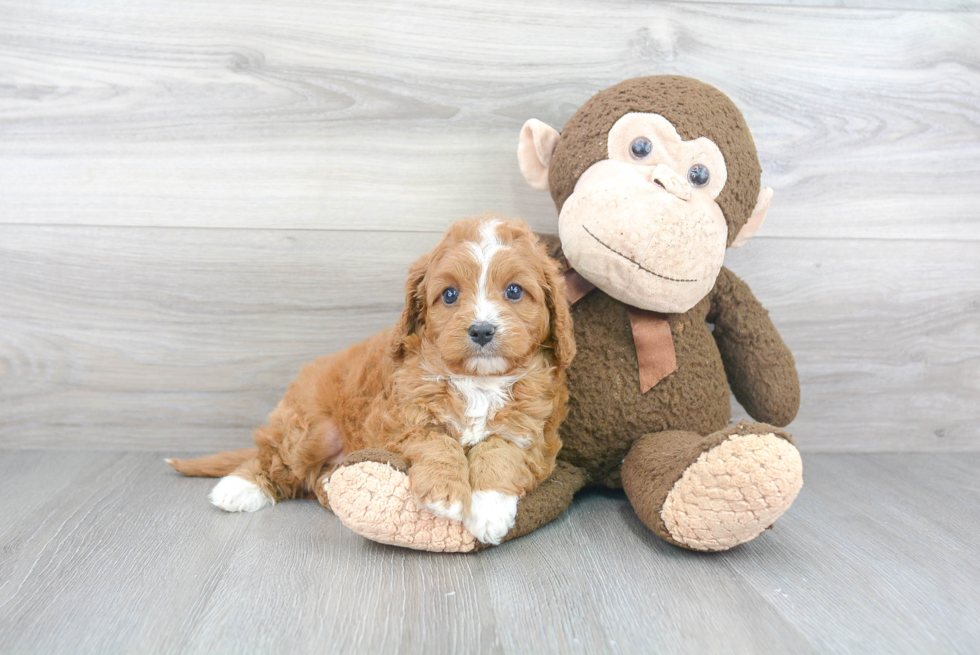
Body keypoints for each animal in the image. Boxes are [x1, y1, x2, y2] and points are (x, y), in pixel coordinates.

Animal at [170, 214, 576, 544]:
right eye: (449, 295)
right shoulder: (401, 421)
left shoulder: (531, 430)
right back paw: (239, 487)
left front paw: (489, 508)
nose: (481, 330)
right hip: (311, 428)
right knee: (276, 458)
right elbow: (437, 442)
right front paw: (445, 493)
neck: (478, 381)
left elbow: (500, 451)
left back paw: (328, 482)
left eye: (514, 291)